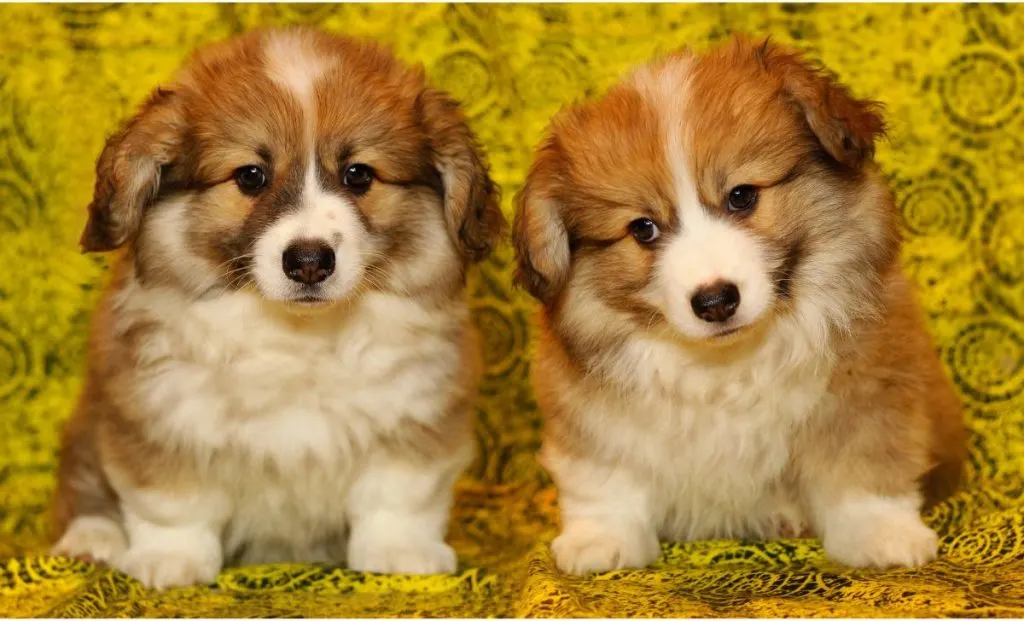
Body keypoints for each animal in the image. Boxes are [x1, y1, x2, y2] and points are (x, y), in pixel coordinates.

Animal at [49, 26, 505, 590]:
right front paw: (171, 560)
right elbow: (174, 502)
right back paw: (93, 540)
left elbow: (397, 497)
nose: (309, 262)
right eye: (250, 176)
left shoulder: (414, 415)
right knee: (84, 488)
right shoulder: (158, 415)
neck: (298, 336)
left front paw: (401, 554)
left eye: (358, 175)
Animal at [516, 37, 962, 573]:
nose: (714, 301)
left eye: (742, 196)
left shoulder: (871, 386)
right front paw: (601, 539)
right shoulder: (587, 411)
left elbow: (865, 462)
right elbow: (605, 477)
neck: (726, 364)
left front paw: (882, 532)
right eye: (643, 228)